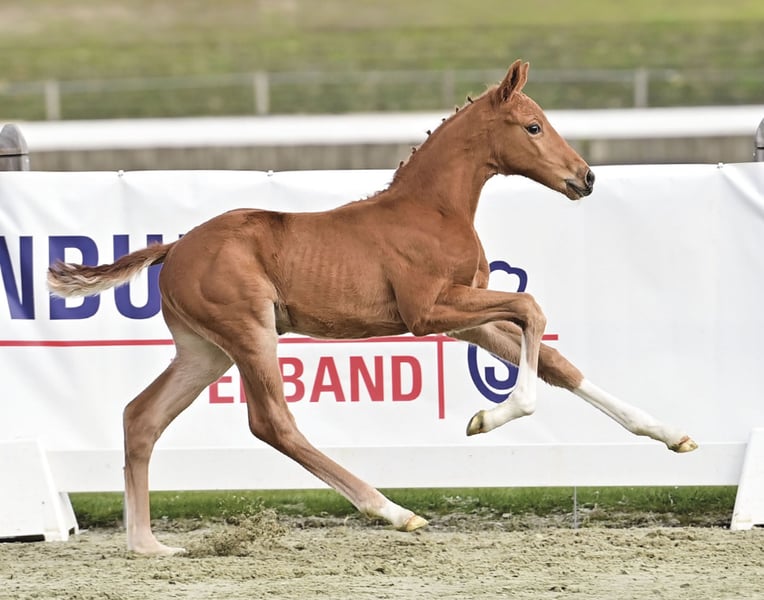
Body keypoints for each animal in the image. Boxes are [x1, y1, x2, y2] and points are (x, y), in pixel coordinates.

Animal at [48, 60, 697, 555]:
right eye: (534, 126)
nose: (586, 178)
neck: (432, 210)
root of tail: (176, 246)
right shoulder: (427, 313)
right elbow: (532, 307)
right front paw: (487, 419)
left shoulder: (467, 319)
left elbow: (557, 359)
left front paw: (672, 434)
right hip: (249, 332)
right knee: (271, 422)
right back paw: (394, 511)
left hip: (204, 351)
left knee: (141, 417)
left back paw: (148, 546)